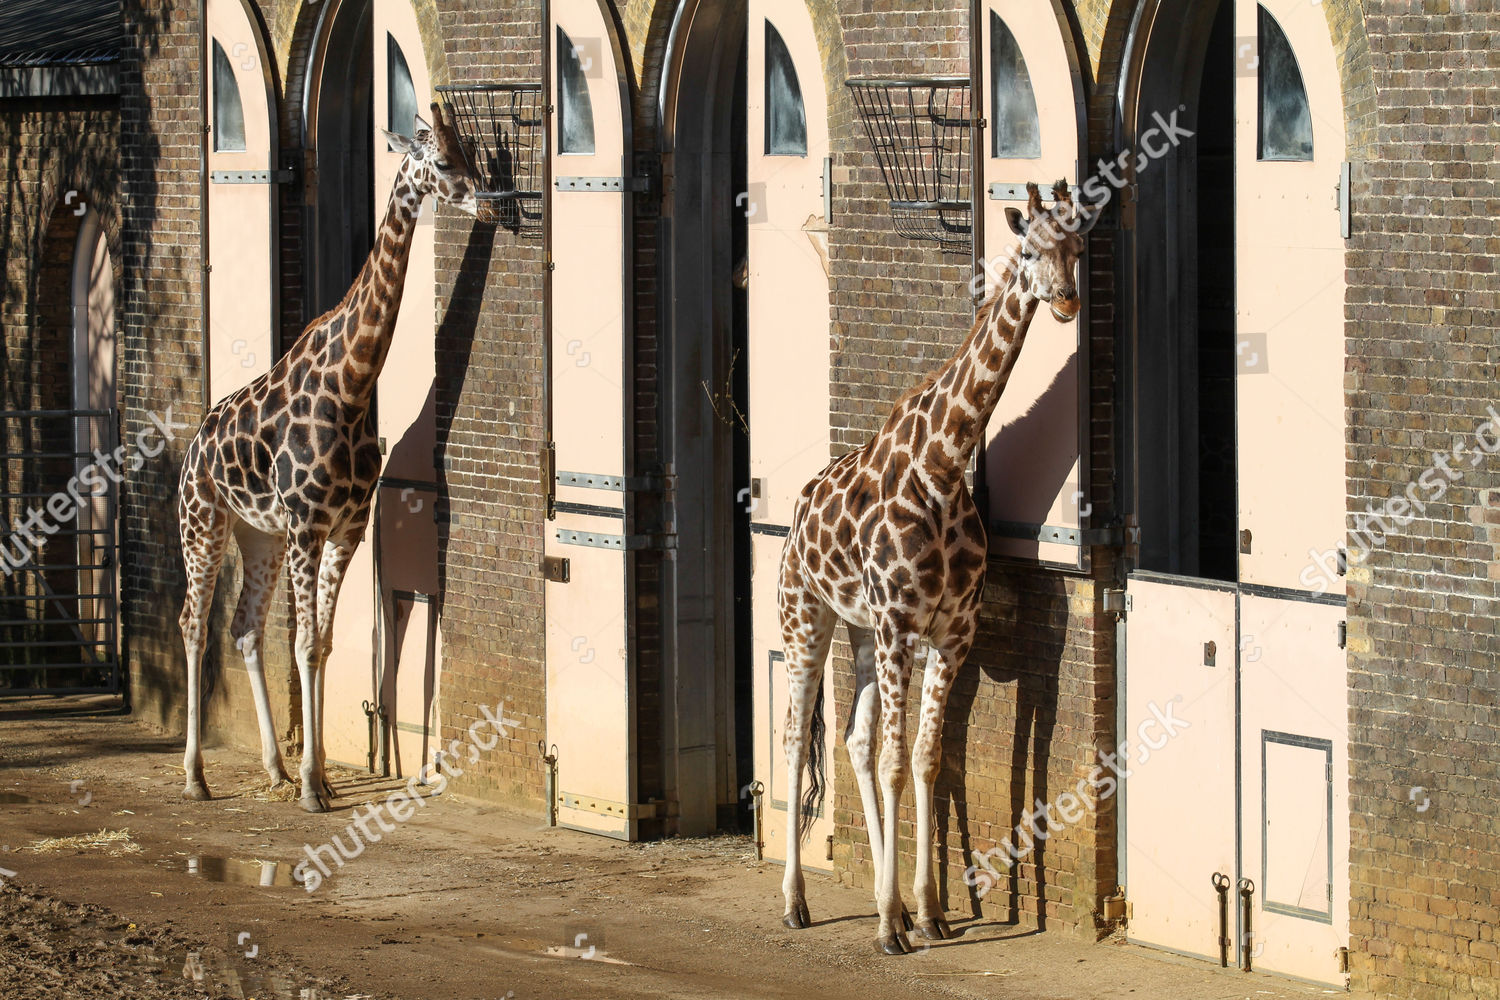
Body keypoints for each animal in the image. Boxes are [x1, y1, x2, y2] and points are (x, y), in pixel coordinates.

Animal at [176, 104, 480, 813]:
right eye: (442, 161)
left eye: (468, 154)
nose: (481, 199)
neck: (354, 381)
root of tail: (194, 442)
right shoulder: (309, 526)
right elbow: (307, 642)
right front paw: (316, 786)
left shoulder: (347, 527)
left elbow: (324, 642)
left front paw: (316, 776)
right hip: (204, 524)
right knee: (193, 624)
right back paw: (196, 776)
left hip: (258, 535)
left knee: (244, 628)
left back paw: (274, 770)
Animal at [777, 181, 1097, 953]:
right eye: (1031, 247)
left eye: (1079, 245)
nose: (1066, 301)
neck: (945, 467)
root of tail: (796, 514)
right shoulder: (902, 626)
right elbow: (900, 762)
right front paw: (896, 924)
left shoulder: (952, 633)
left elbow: (925, 758)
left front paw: (926, 911)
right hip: (806, 619)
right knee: (796, 737)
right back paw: (796, 901)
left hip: (861, 633)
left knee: (857, 741)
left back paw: (878, 896)